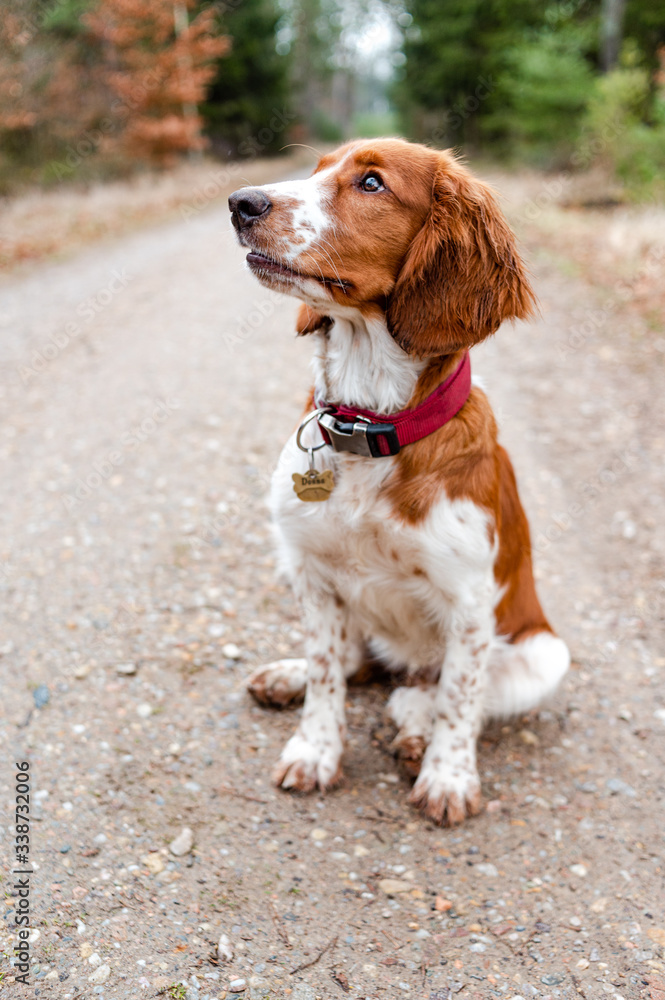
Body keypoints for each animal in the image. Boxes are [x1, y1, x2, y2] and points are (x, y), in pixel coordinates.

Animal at [230, 143, 572, 828]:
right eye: (315, 170)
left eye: (371, 183)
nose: (240, 202)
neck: (371, 426)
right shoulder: (311, 570)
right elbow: (328, 671)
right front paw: (315, 750)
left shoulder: (470, 603)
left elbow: (460, 697)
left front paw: (448, 778)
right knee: (357, 663)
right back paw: (287, 676)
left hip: (545, 653)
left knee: (431, 690)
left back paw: (413, 729)